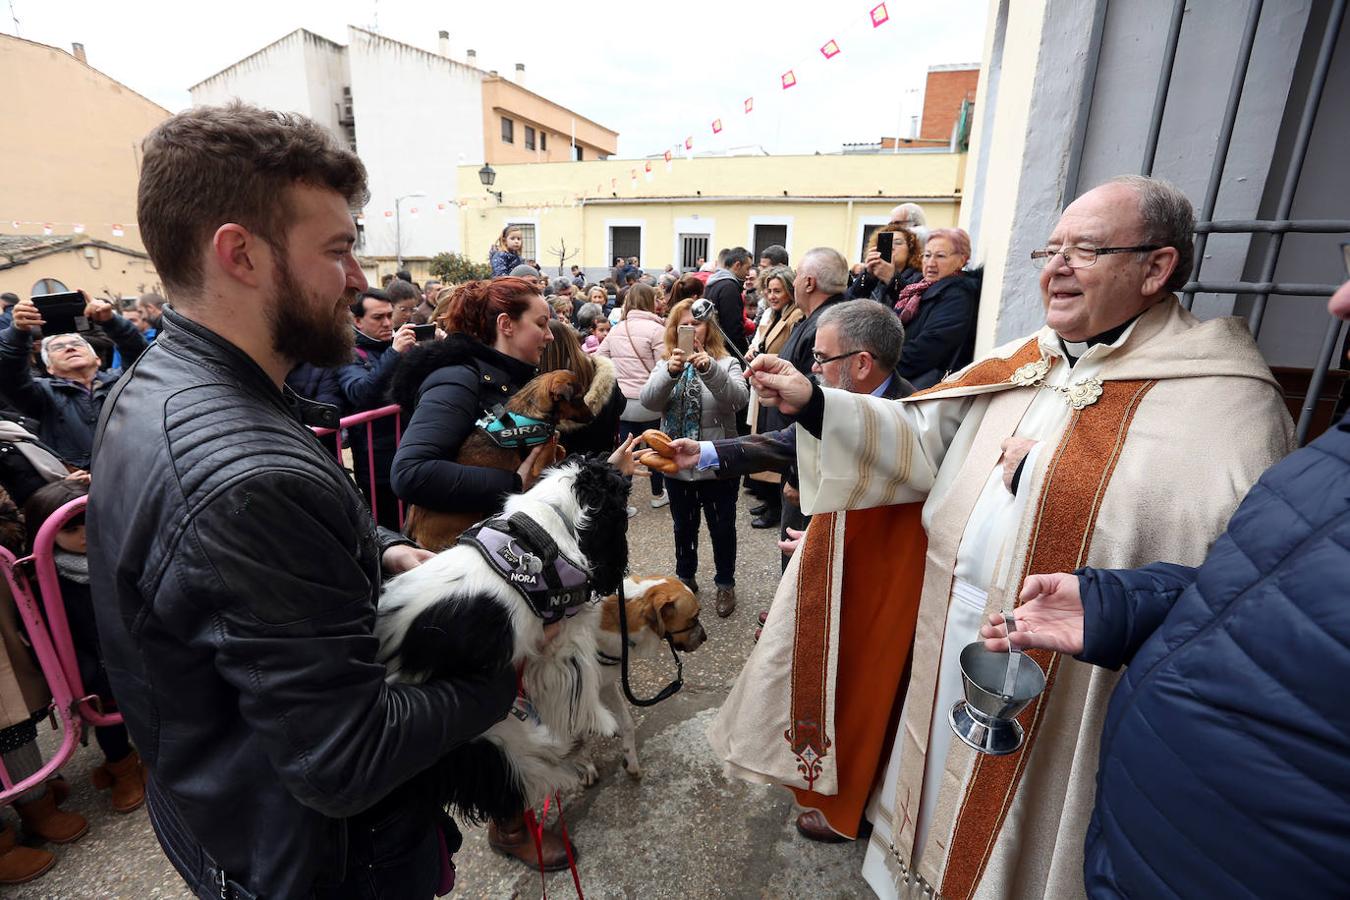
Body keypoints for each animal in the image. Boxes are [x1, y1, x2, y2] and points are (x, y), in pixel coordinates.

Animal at [375, 458, 626, 825]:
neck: (549, 519)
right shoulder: (563, 639)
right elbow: (583, 684)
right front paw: (602, 723)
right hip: (472, 726)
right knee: (521, 767)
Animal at [399, 372, 591, 553]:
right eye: (579, 398)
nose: (592, 416)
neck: (532, 407)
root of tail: (413, 527)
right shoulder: (539, 463)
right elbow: (553, 449)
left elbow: (561, 448)